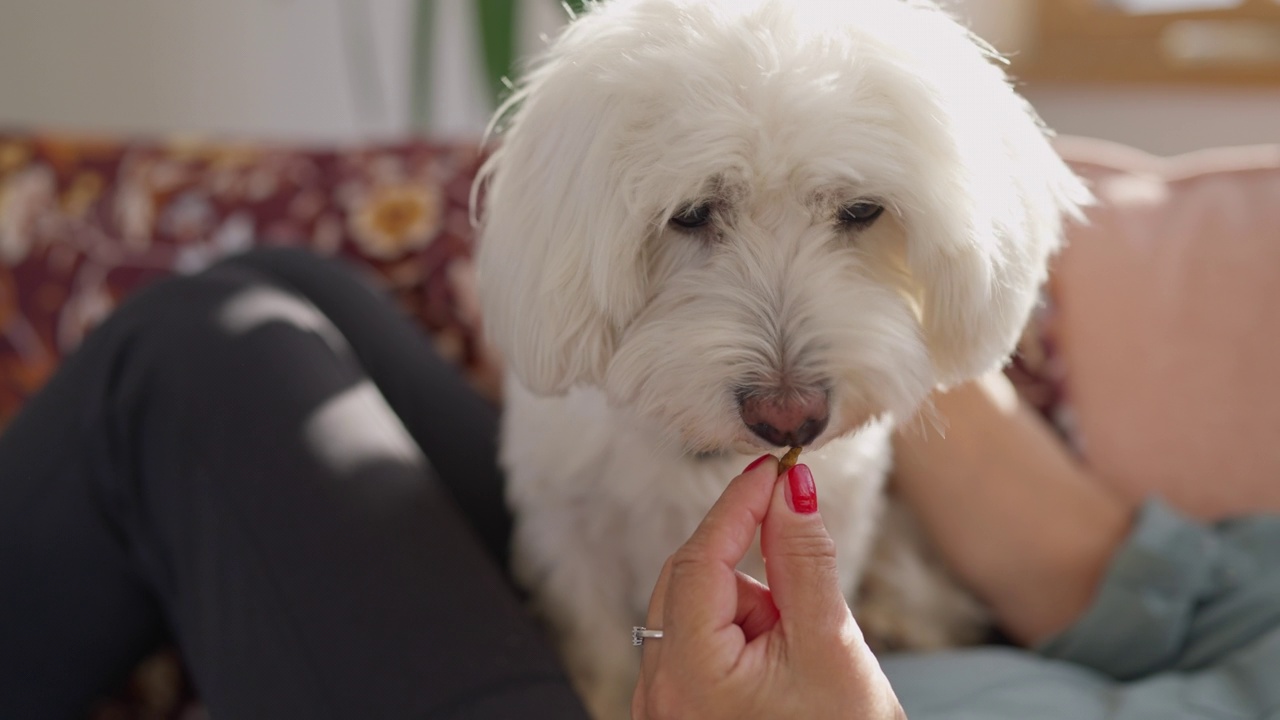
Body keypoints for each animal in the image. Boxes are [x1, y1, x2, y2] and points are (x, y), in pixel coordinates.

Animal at [476, 2, 1085, 712]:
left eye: (861, 209)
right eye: (691, 213)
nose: (790, 417)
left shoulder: (846, 509)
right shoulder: (566, 528)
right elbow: (595, 637)